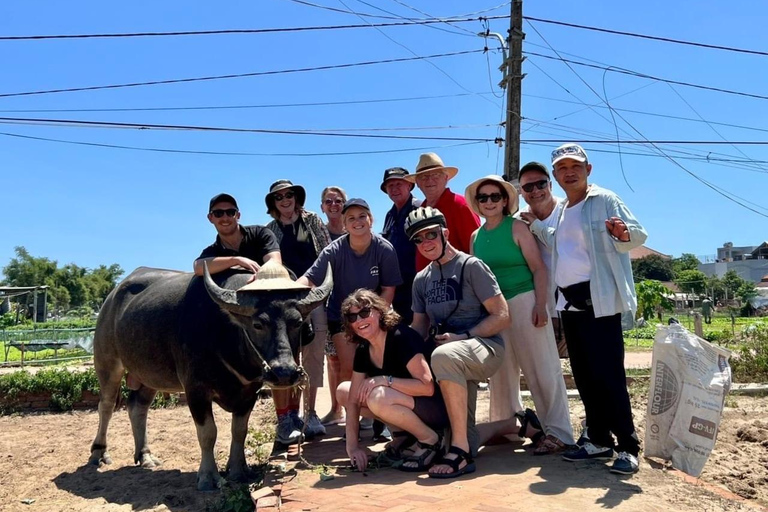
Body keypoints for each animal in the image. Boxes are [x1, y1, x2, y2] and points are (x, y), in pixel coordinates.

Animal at [88, 262, 332, 490]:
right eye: (258, 324)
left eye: (297, 322)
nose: (284, 372)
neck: (226, 334)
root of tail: (111, 298)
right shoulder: (195, 390)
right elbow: (208, 433)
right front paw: (208, 477)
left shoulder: (249, 392)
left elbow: (239, 431)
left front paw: (238, 470)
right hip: (107, 362)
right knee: (106, 406)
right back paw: (98, 454)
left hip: (149, 375)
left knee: (137, 407)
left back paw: (145, 456)